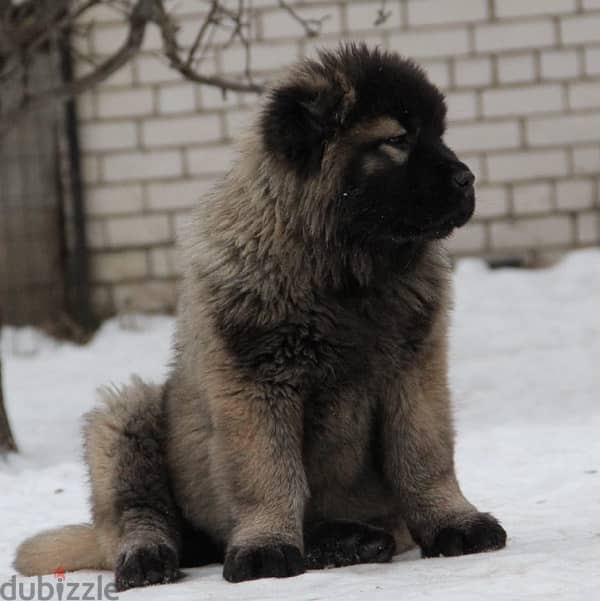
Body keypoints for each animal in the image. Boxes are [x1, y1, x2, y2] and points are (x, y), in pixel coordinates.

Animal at [15, 44, 506, 588]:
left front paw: (455, 523)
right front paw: (265, 546)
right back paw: (148, 558)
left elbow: (425, 454)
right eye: (398, 140)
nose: (467, 178)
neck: (343, 275)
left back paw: (351, 541)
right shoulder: (255, 381)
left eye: (439, 133)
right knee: (138, 512)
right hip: (127, 418)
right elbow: (267, 472)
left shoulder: (414, 368)